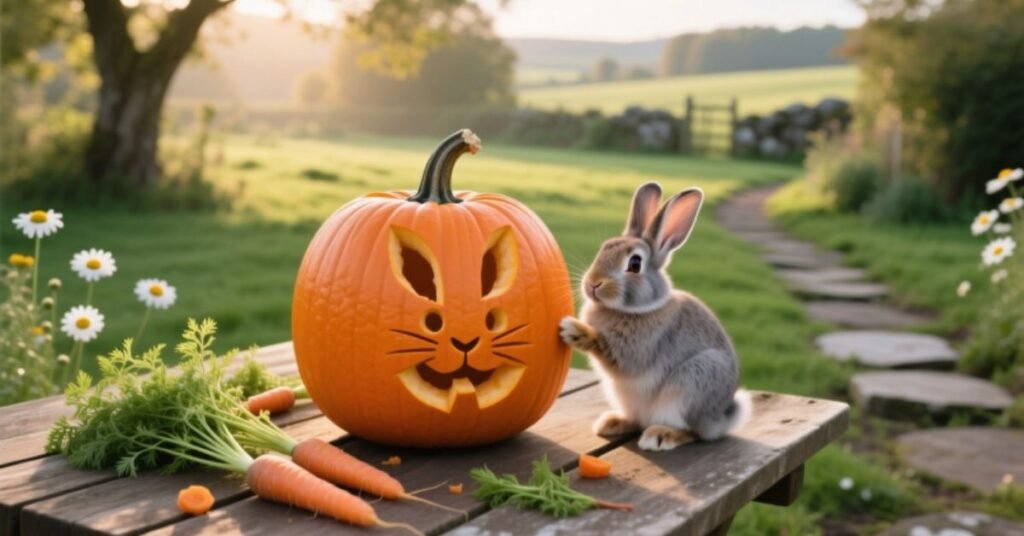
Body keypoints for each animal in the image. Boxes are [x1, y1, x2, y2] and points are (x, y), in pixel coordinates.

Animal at [559, 182, 752, 451]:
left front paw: (574, 330)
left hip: (693, 383)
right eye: (604, 248)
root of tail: (720, 420)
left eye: (635, 264)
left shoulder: (632, 351)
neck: (639, 309)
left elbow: (607, 349)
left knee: (693, 432)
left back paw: (661, 436)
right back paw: (611, 423)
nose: (593, 283)